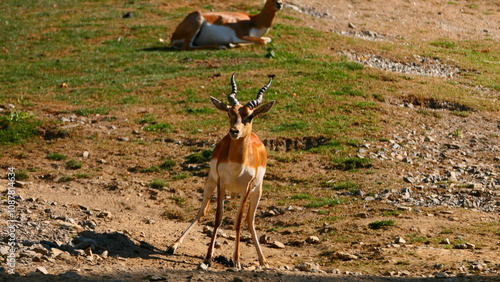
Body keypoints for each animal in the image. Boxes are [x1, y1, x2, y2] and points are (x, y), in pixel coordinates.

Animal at [169, 73, 278, 268]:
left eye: (250, 116)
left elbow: (238, 221)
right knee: (202, 212)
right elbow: (218, 217)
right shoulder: (221, 182)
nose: (234, 131)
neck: (237, 165)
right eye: (230, 113)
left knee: (250, 220)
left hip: (257, 191)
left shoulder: (247, 187)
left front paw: (237, 261)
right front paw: (208, 257)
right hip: (210, 183)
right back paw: (173, 246)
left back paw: (263, 260)